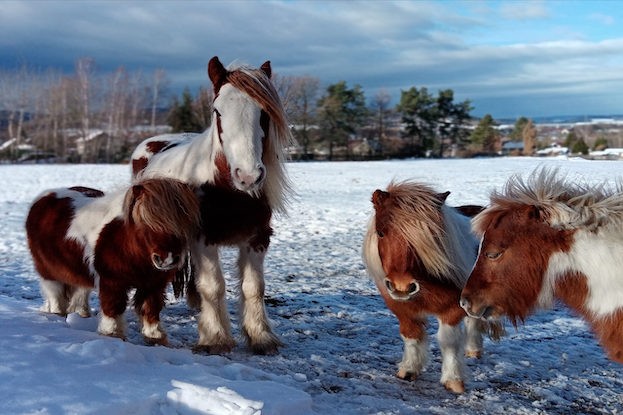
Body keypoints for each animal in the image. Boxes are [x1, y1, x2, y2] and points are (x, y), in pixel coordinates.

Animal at [25, 179, 197, 344]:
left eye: (182, 222)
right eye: (145, 222)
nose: (168, 259)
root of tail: (46, 196)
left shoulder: (154, 284)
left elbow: (151, 308)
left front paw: (155, 337)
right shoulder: (111, 281)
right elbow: (113, 307)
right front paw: (112, 334)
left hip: (79, 273)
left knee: (80, 295)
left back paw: (81, 316)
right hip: (48, 273)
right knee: (55, 295)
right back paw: (57, 314)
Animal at [130, 55, 294, 354]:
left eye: (264, 113)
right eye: (218, 111)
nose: (248, 176)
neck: (229, 191)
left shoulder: (258, 238)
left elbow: (254, 287)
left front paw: (260, 337)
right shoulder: (202, 239)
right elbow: (213, 286)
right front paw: (215, 338)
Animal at [364, 181, 504, 394]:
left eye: (430, 235)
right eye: (380, 232)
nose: (402, 287)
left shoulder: (452, 310)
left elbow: (449, 342)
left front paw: (453, 381)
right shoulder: (403, 309)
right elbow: (411, 336)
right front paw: (409, 370)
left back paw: (474, 350)